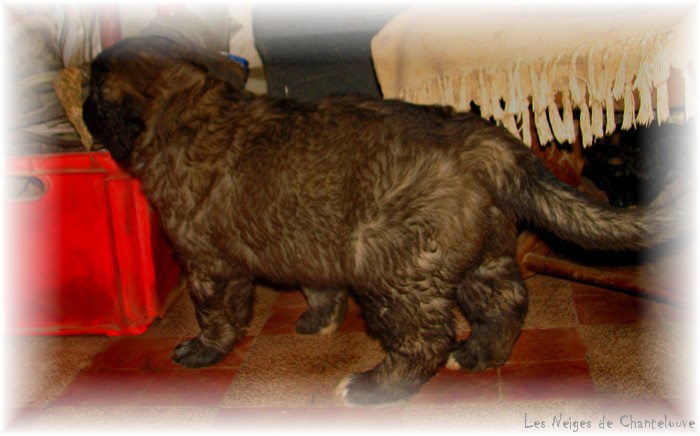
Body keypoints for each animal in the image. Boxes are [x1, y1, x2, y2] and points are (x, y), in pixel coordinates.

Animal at [82, 36, 684, 406]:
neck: (189, 108)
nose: (82, 106)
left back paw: (374, 388)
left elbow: (217, 314)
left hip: (385, 260)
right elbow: (317, 286)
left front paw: (201, 352)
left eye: (90, 89)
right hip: (479, 250)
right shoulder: (308, 241)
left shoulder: (208, 263)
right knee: (505, 302)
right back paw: (480, 355)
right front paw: (318, 320)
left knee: (426, 337)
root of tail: (486, 145)